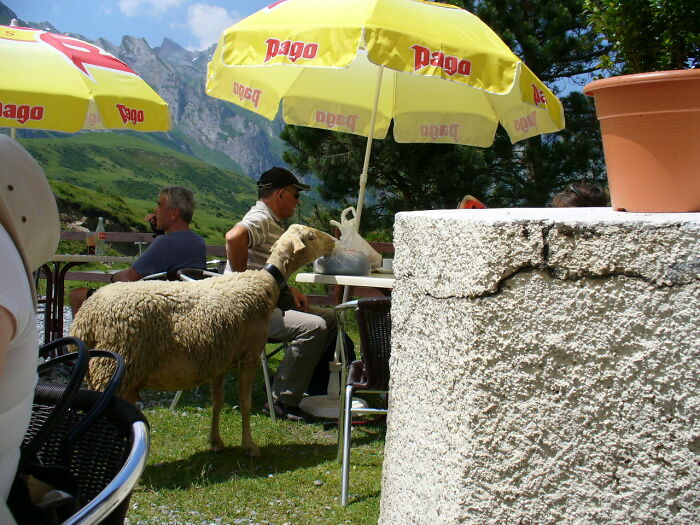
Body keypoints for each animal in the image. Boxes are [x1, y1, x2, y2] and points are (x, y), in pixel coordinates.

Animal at [70, 224, 336, 457]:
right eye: (311, 237)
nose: (334, 240)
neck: (265, 283)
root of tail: (85, 317)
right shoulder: (249, 356)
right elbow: (245, 402)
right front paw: (249, 446)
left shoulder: (219, 360)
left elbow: (217, 403)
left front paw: (216, 441)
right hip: (111, 368)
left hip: (102, 370)